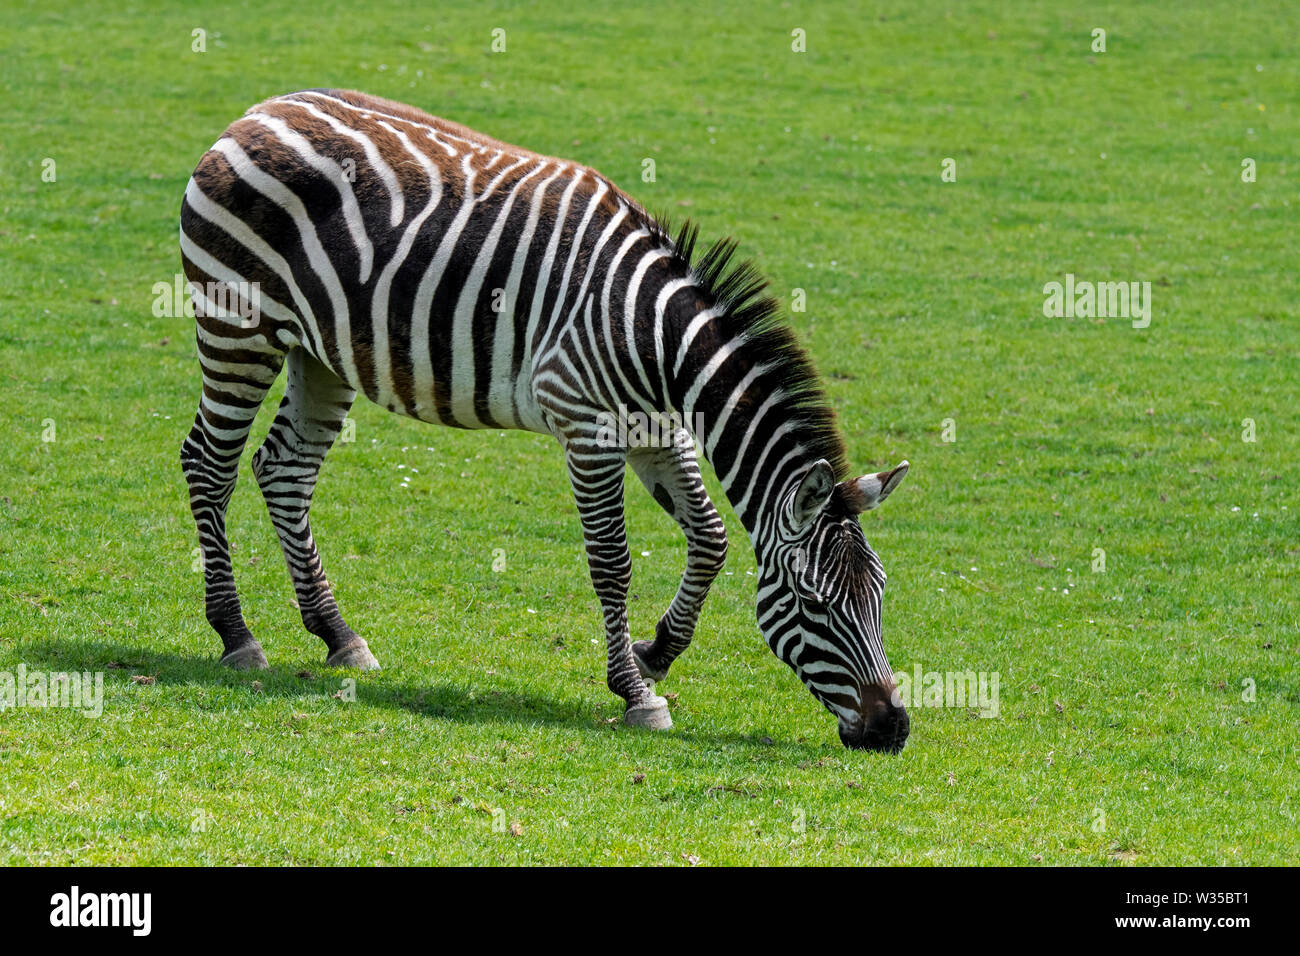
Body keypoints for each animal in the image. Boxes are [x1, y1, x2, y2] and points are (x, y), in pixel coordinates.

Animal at [180, 87, 915, 754]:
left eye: (880, 595)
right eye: (816, 605)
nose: (893, 730)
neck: (656, 339)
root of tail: (260, 110)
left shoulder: (656, 429)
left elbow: (710, 540)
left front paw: (654, 653)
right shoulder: (586, 427)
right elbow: (612, 562)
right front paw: (636, 693)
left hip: (320, 352)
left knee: (285, 471)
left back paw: (337, 634)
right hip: (238, 326)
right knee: (209, 464)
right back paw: (237, 635)